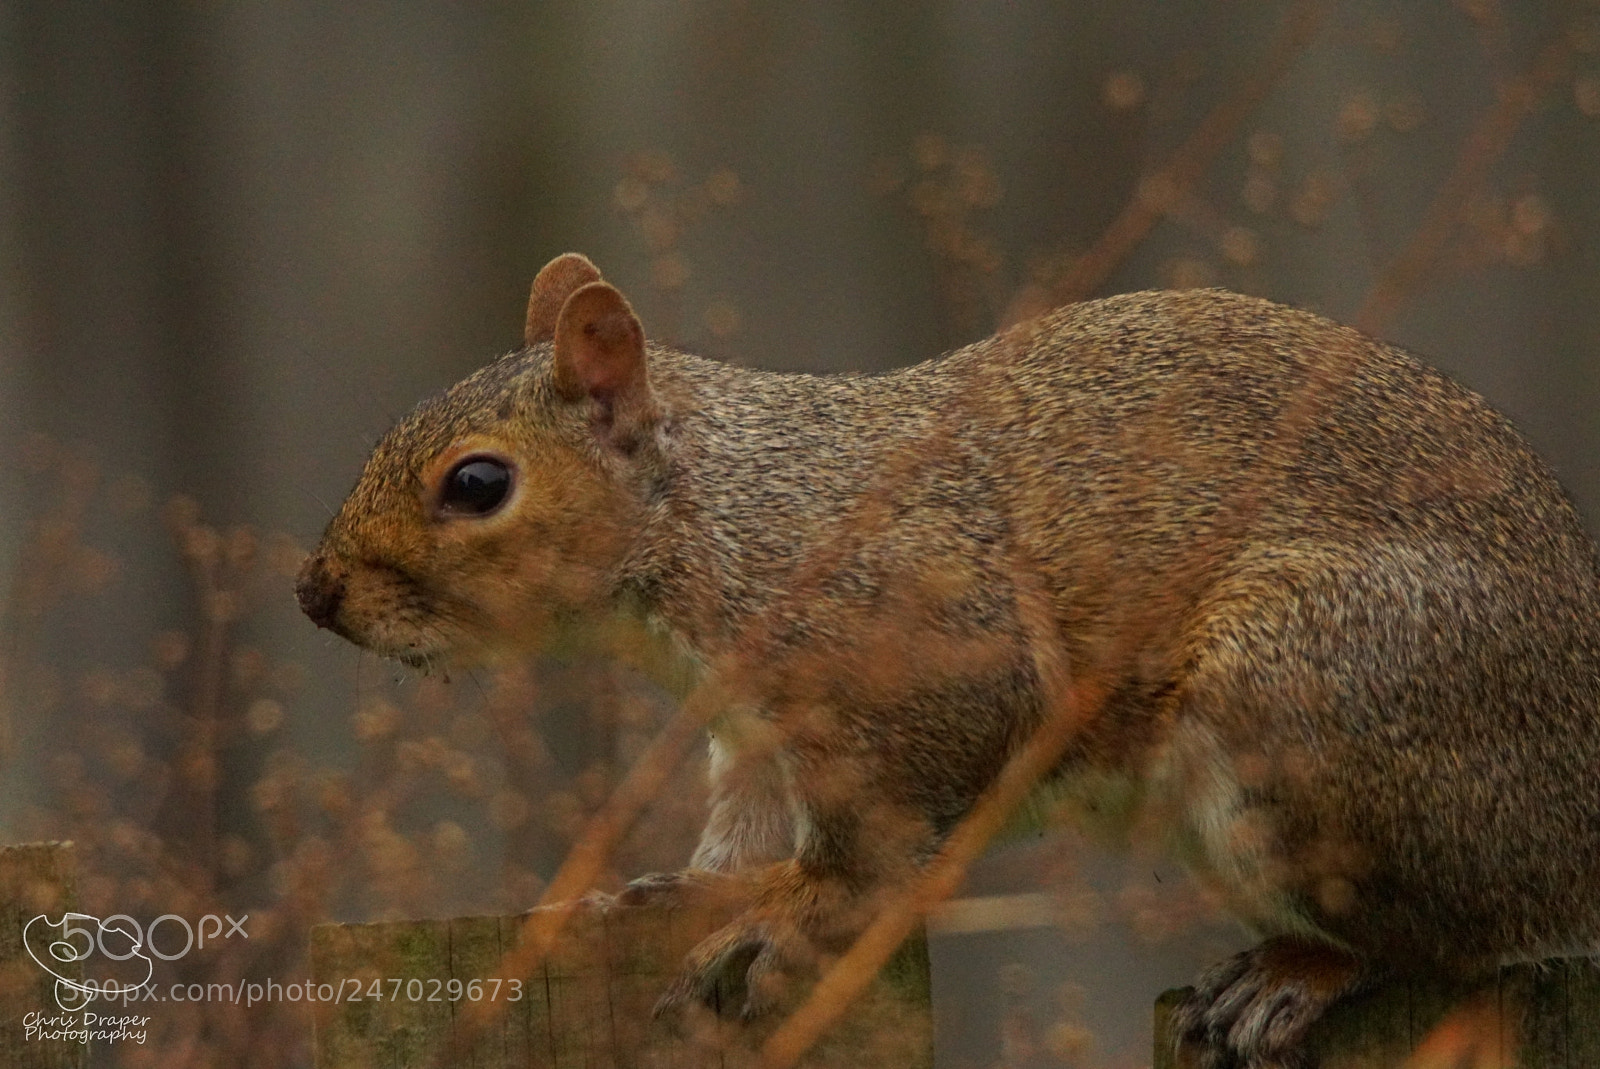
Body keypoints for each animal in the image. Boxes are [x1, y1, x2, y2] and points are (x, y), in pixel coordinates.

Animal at [296, 252, 1600, 1068]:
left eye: (478, 482)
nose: (315, 594)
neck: (724, 513)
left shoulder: (918, 652)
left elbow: (870, 847)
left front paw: (785, 915)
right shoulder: (749, 734)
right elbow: (745, 829)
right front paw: (684, 889)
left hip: (1314, 704)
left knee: (1447, 941)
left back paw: (1298, 971)